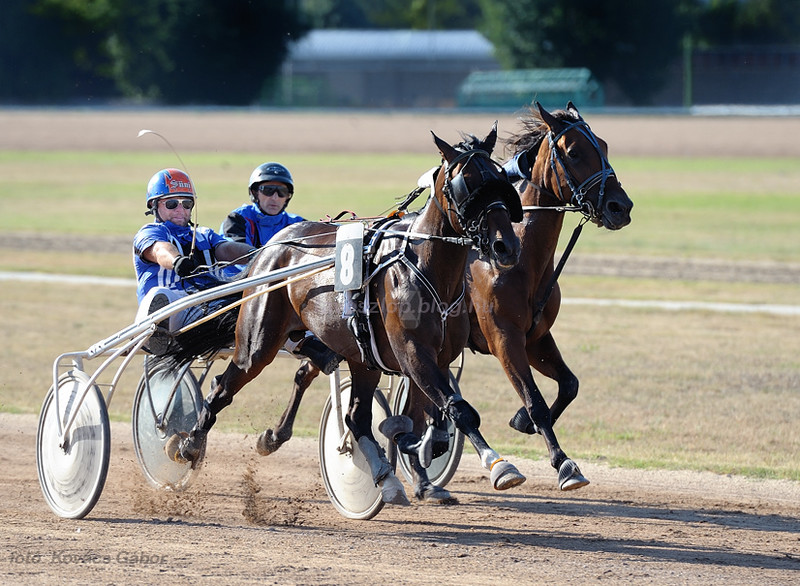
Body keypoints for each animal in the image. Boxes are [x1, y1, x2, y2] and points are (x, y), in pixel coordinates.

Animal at [167, 125, 532, 504]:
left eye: (501, 179)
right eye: (466, 184)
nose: (506, 246)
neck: (427, 268)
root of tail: (271, 247)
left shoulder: (437, 357)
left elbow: (428, 420)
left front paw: (419, 457)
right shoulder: (414, 352)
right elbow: (459, 410)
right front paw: (500, 466)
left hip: (361, 356)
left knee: (355, 416)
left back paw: (385, 476)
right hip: (259, 342)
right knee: (223, 386)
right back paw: (189, 445)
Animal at [460, 101, 636, 492]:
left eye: (604, 145)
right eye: (573, 152)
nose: (621, 207)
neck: (517, 257)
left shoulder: (536, 337)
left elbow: (569, 385)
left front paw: (520, 420)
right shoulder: (503, 338)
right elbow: (535, 400)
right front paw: (563, 463)